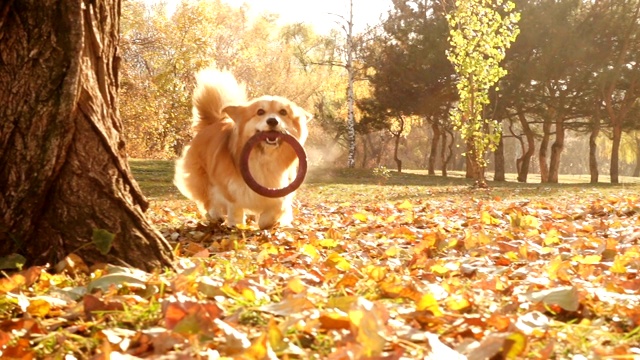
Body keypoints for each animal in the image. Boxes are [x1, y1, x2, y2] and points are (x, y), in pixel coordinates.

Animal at [172, 68, 312, 228]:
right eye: (260, 112)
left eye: (283, 112)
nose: (272, 121)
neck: (264, 157)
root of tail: (214, 122)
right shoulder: (231, 189)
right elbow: (235, 207)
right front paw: (236, 225)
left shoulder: (283, 189)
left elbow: (275, 209)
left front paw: (268, 223)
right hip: (202, 178)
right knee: (208, 200)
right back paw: (215, 216)